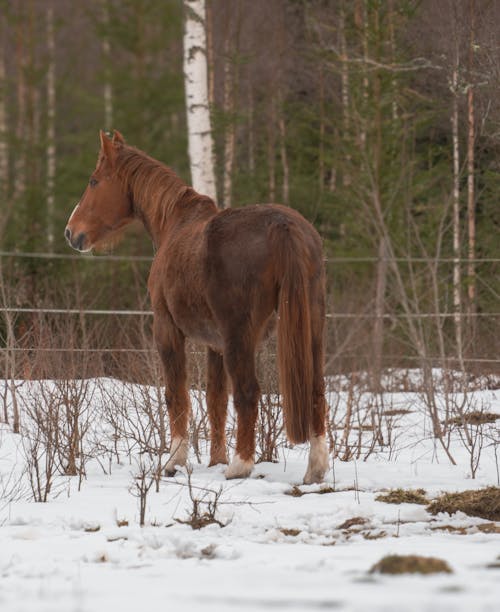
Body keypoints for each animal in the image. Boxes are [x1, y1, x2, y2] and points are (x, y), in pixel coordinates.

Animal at [66, 130, 330, 482]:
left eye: (94, 181)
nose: (71, 232)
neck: (175, 223)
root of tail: (283, 225)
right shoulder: (214, 345)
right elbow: (215, 400)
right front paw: (215, 459)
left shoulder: (167, 329)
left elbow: (176, 395)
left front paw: (174, 461)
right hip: (310, 328)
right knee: (315, 390)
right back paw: (315, 468)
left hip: (240, 338)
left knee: (248, 393)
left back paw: (240, 466)